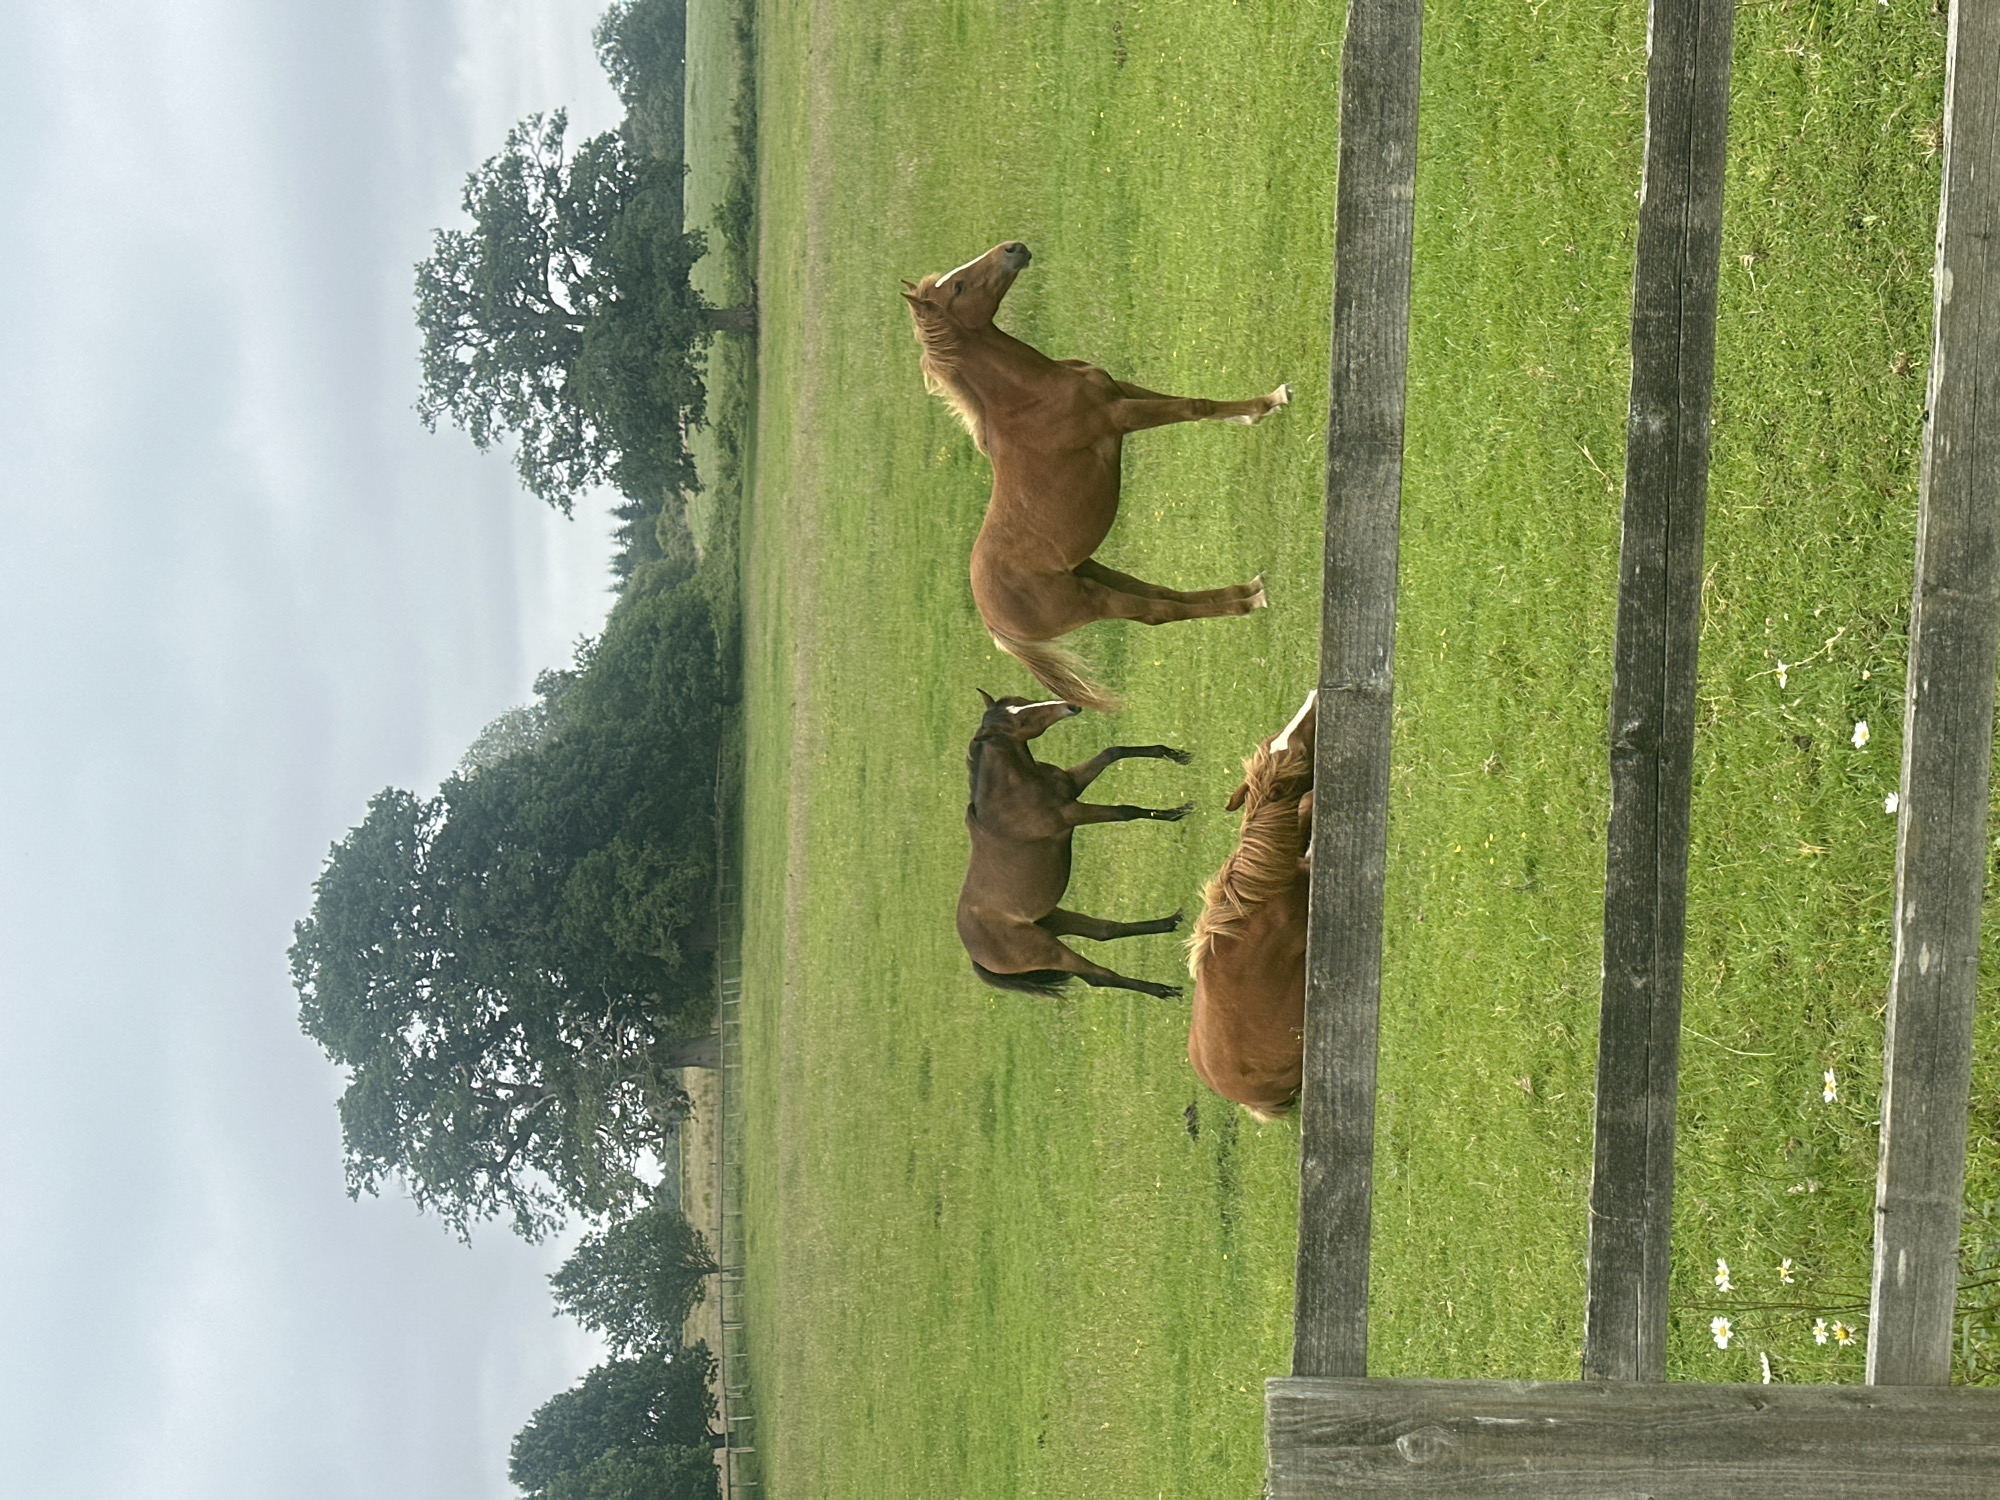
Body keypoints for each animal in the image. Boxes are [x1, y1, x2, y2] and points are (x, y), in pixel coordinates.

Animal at [903, 241, 1290, 713]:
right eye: (958, 286)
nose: (1014, 248)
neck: (1028, 398)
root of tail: (996, 627)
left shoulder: (1121, 391)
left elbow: (1193, 402)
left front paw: (1259, 408)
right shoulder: (1121, 416)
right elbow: (1194, 406)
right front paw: (1269, 403)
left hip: (1094, 571)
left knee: (1162, 595)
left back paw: (1250, 588)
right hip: (1093, 601)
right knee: (1160, 612)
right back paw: (1252, 600)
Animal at [958, 691, 1191, 998]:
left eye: (1022, 700)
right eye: (1022, 721)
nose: (1070, 706)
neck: (1010, 798)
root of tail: (975, 957)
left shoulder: (1072, 784)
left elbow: (1113, 751)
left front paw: (1173, 754)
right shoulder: (1072, 814)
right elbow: (1125, 811)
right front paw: (1174, 813)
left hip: (1055, 920)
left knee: (1105, 931)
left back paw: (1172, 922)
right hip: (1048, 948)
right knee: (1098, 976)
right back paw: (1163, 990)